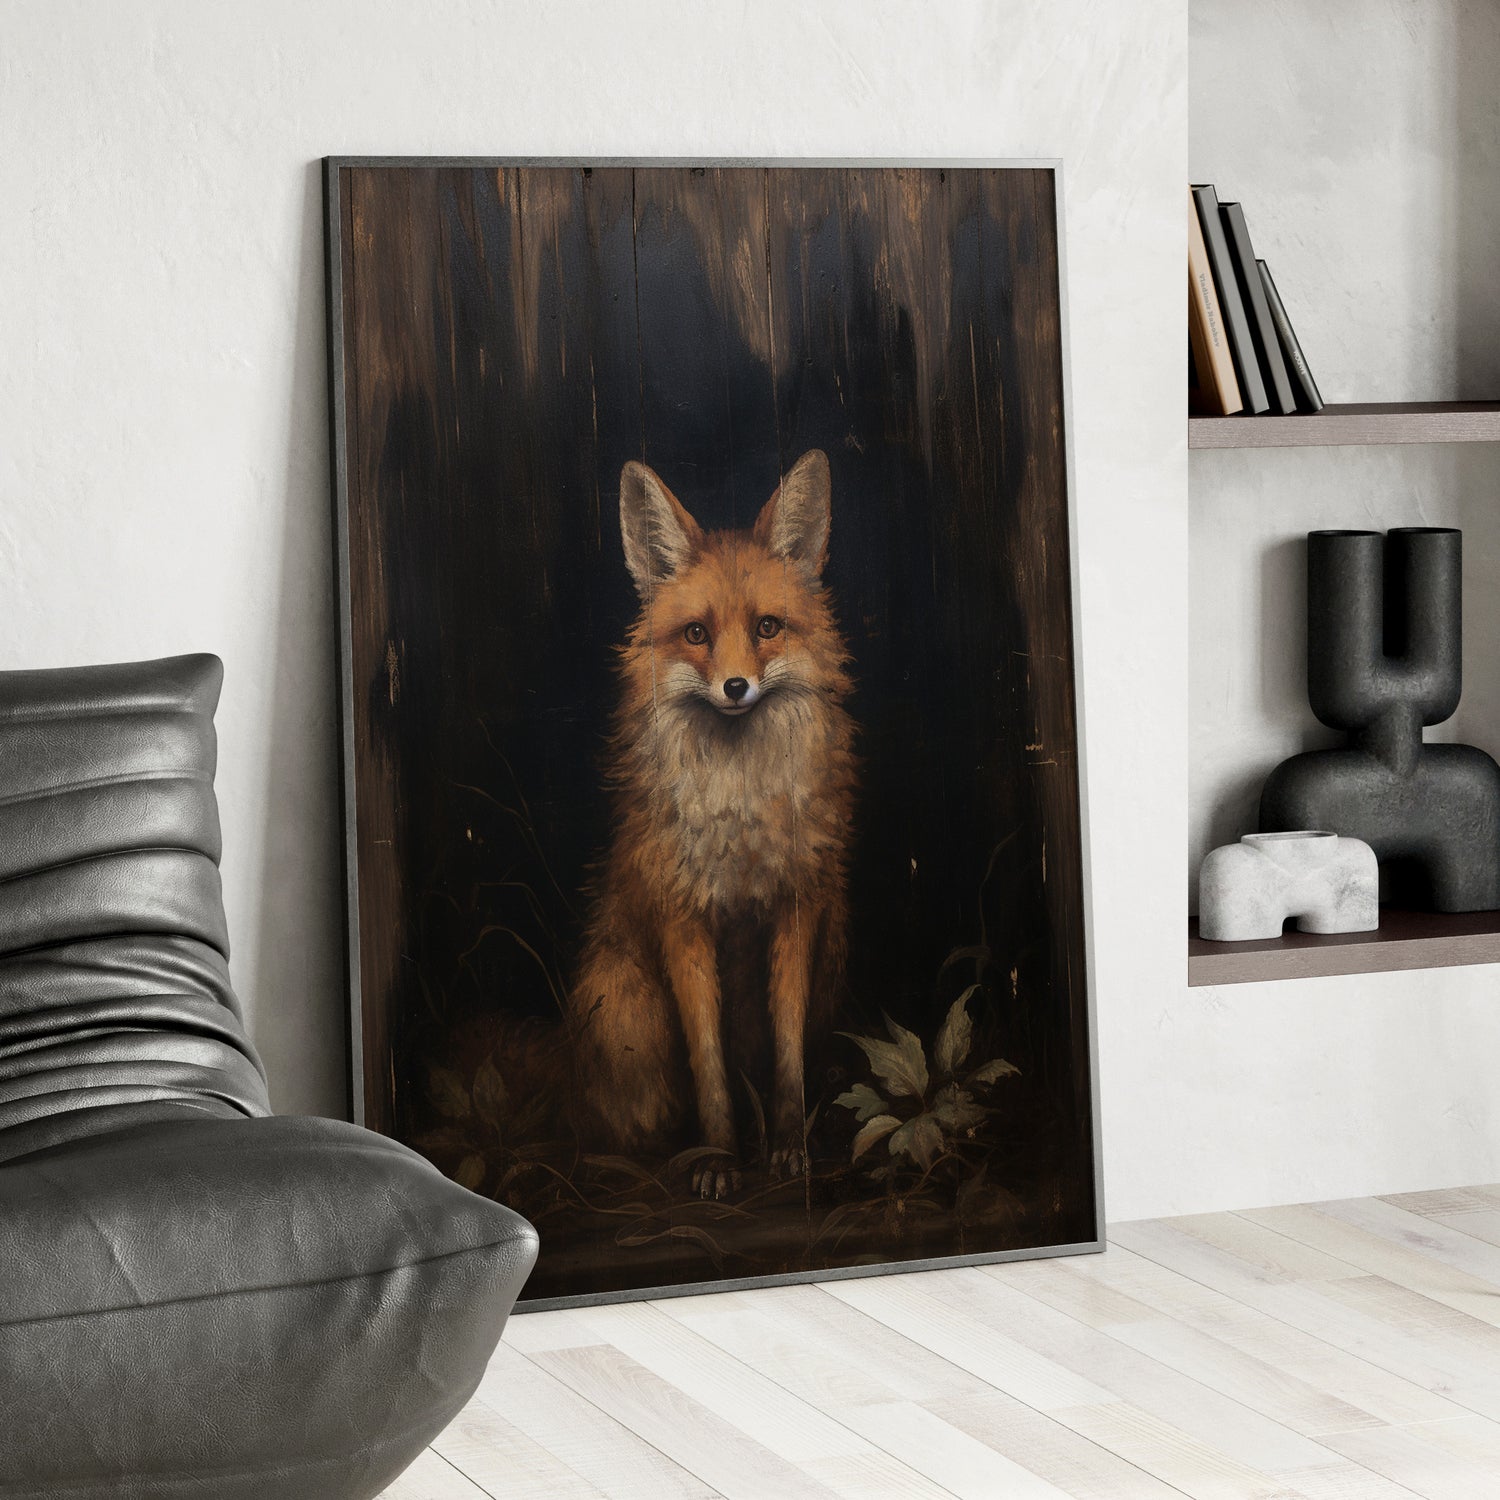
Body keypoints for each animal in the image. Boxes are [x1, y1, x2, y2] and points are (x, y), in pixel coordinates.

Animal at [570, 449, 857, 1199]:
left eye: (767, 628)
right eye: (697, 634)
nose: (735, 688)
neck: (741, 816)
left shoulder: (797, 909)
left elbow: (787, 1054)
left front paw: (788, 1150)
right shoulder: (683, 919)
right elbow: (709, 1066)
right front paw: (721, 1160)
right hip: (631, 1011)